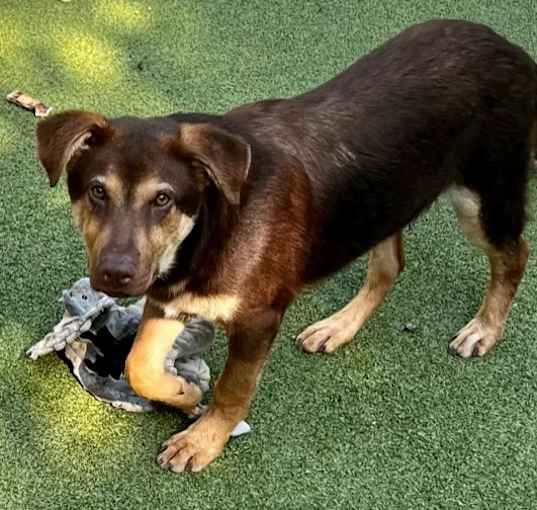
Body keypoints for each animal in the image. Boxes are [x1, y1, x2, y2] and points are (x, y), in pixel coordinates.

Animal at [35, 19, 536, 474]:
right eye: (97, 191)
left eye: (163, 199)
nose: (116, 276)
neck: (214, 222)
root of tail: (508, 46)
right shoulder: (170, 295)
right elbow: (140, 365)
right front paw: (184, 393)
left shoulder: (259, 317)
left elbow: (233, 388)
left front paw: (203, 440)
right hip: (384, 199)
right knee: (390, 265)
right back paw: (338, 327)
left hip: (481, 199)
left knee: (515, 255)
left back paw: (484, 329)